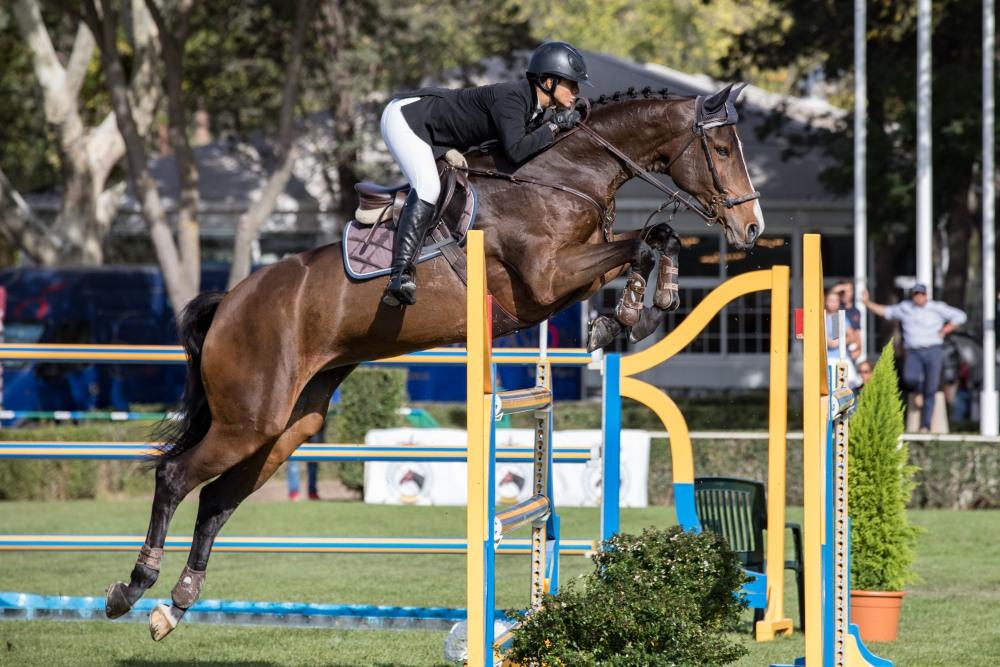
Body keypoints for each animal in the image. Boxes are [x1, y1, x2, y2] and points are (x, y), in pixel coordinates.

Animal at [107, 81, 764, 640]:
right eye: (722, 147)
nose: (752, 226)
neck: (561, 174)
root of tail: (231, 301)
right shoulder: (547, 280)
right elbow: (642, 245)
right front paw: (637, 309)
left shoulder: (569, 277)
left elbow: (652, 242)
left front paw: (636, 310)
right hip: (251, 415)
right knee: (175, 478)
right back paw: (133, 588)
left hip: (292, 423)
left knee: (218, 498)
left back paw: (174, 607)